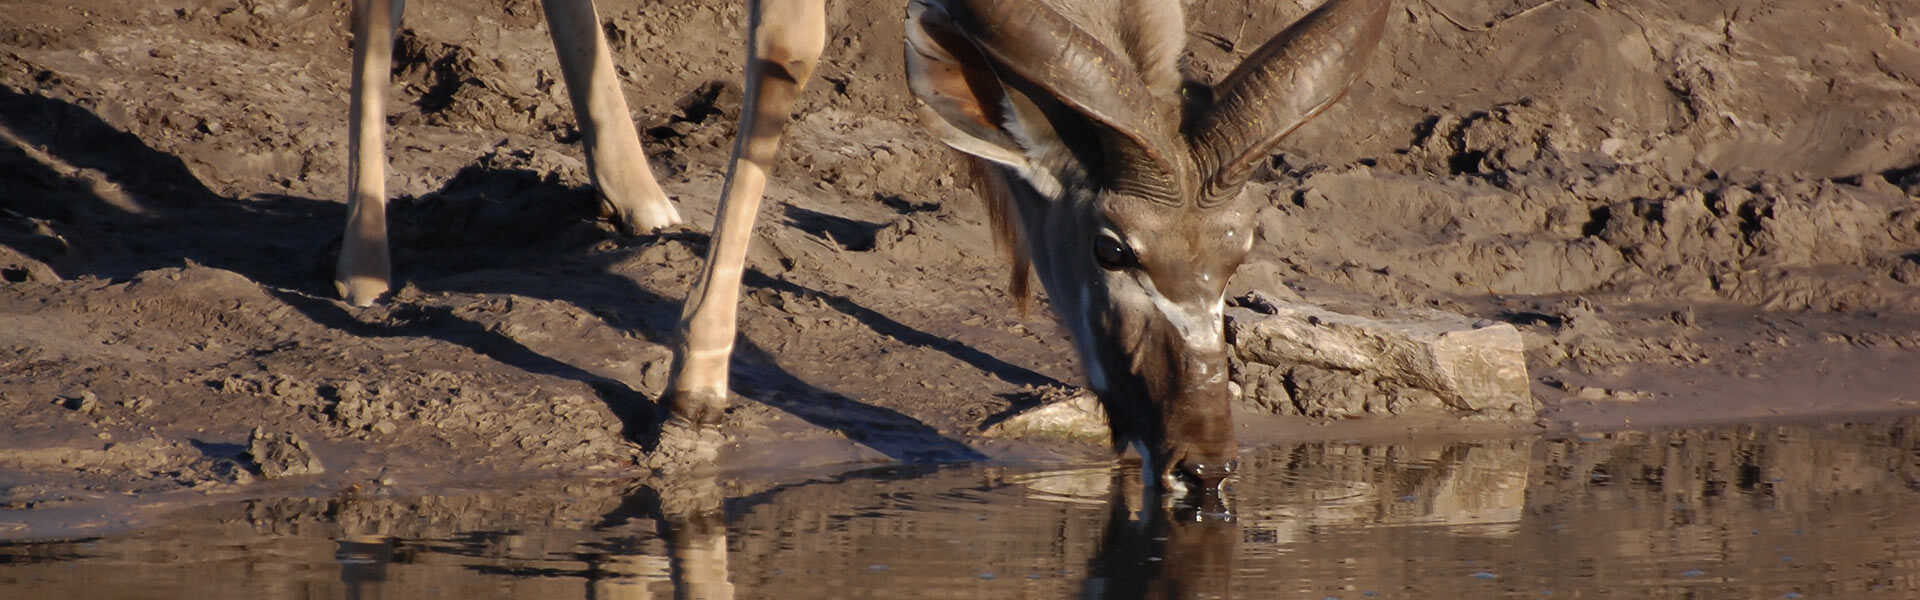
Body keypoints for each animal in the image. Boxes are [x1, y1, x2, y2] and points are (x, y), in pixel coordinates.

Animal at [345, 0, 1390, 490]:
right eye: (1110, 249)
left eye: (1238, 255)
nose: (1202, 464)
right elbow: (790, 49)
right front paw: (694, 388)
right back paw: (363, 262)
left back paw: (640, 198)